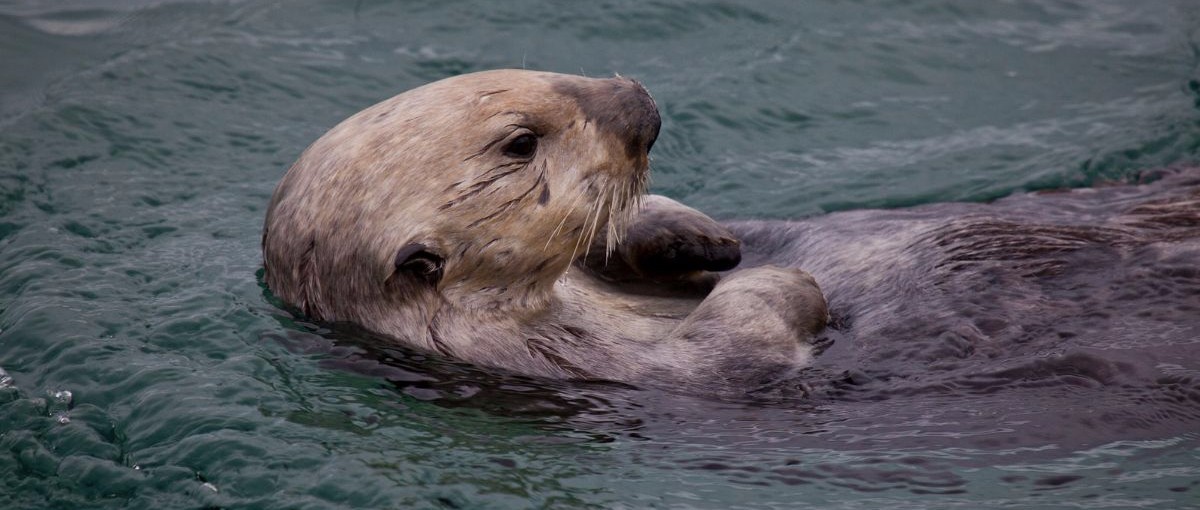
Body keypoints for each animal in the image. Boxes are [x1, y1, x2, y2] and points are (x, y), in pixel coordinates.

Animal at [264, 69, 1200, 395]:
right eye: (520, 143)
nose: (635, 100)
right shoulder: (574, 365)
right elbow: (739, 344)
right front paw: (785, 284)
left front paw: (704, 240)